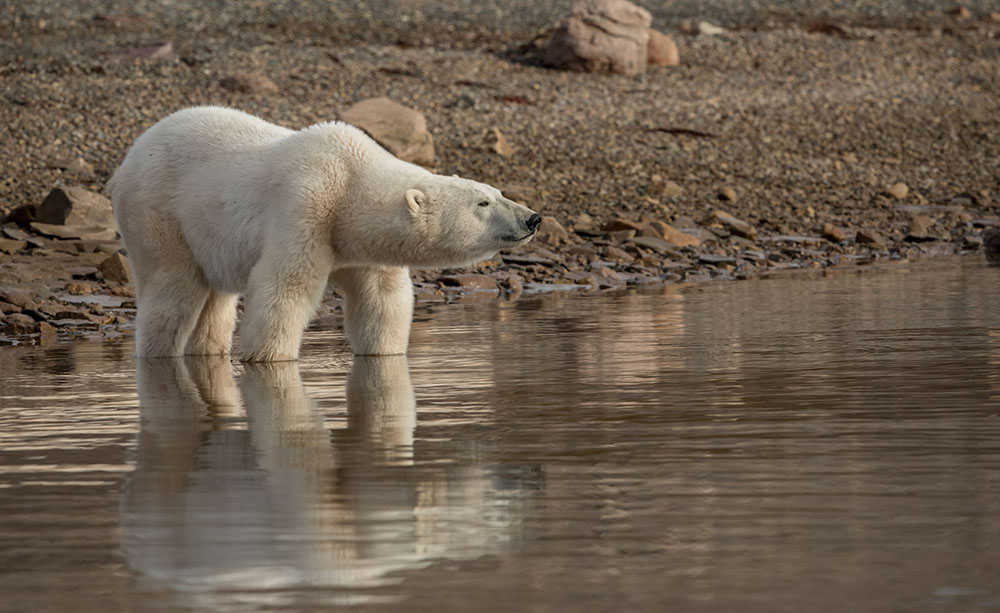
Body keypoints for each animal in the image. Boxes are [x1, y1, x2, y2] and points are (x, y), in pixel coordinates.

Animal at [111, 107, 540, 360]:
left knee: (215, 299)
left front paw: (385, 354)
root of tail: (129, 157)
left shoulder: (364, 249)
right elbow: (285, 289)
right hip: (158, 212)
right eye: (483, 202)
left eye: (498, 192)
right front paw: (268, 358)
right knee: (173, 291)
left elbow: (382, 301)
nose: (532, 218)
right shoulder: (305, 207)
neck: (349, 180)